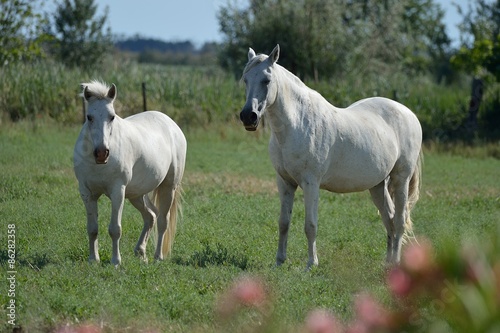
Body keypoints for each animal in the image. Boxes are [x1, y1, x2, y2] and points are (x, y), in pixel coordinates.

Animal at [72, 80, 186, 264]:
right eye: (89, 117)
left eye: (112, 116)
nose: (102, 153)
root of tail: (171, 124)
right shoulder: (87, 193)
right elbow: (92, 228)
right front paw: (93, 260)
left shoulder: (118, 191)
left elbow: (115, 229)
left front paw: (115, 261)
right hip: (136, 194)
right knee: (150, 216)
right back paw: (140, 251)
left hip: (168, 188)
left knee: (163, 221)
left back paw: (158, 257)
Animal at [239, 44, 422, 268]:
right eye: (246, 79)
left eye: (266, 80)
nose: (248, 116)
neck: (297, 124)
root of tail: (409, 113)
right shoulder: (285, 182)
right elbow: (283, 223)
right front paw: (279, 261)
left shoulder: (311, 183)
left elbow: (310, 225)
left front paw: (311, 264)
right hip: (377, 185)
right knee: (389, 219)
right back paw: (387, 262)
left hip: (400, 179)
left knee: (399, 220)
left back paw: (395, 263)